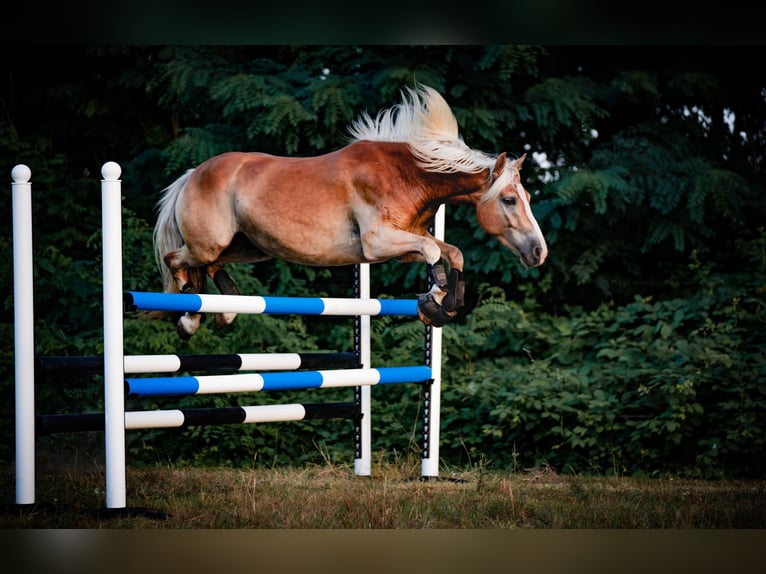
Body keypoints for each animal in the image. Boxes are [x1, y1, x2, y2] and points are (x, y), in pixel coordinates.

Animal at [153, 83, 548, 340]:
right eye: (509, 200)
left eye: (527, 195)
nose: (539, 253)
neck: (410, 175)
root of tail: (192, 174)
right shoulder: (378, 243)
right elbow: (435, 252)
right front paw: (435, 303)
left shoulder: (405, 243)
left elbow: (453, 253)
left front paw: (440, 302)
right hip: (209, 243)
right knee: (176, 261)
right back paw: (189, 318)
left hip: (248, 247)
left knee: (210, 266)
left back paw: (225, 311)